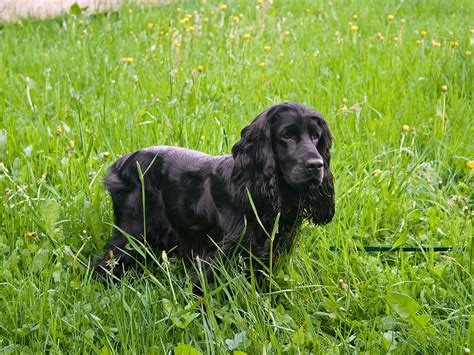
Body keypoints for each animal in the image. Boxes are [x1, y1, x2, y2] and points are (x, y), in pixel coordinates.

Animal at [92, 102, 334, 290]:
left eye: (316, 136)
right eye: (286, 135)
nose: (317, 165)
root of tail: (122, 162)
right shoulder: (217, 255)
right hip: (132, 231)